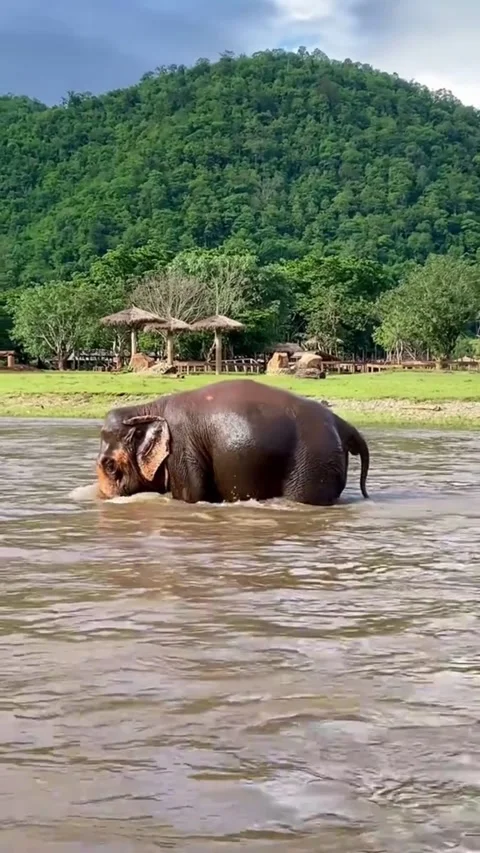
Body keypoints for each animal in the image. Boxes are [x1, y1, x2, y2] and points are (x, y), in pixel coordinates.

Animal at [96, 379, 370, 506]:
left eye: (110, 466)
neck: (149, 407)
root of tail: (341, 423)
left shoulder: (182, 449)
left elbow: (191, 496)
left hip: (313, 463)